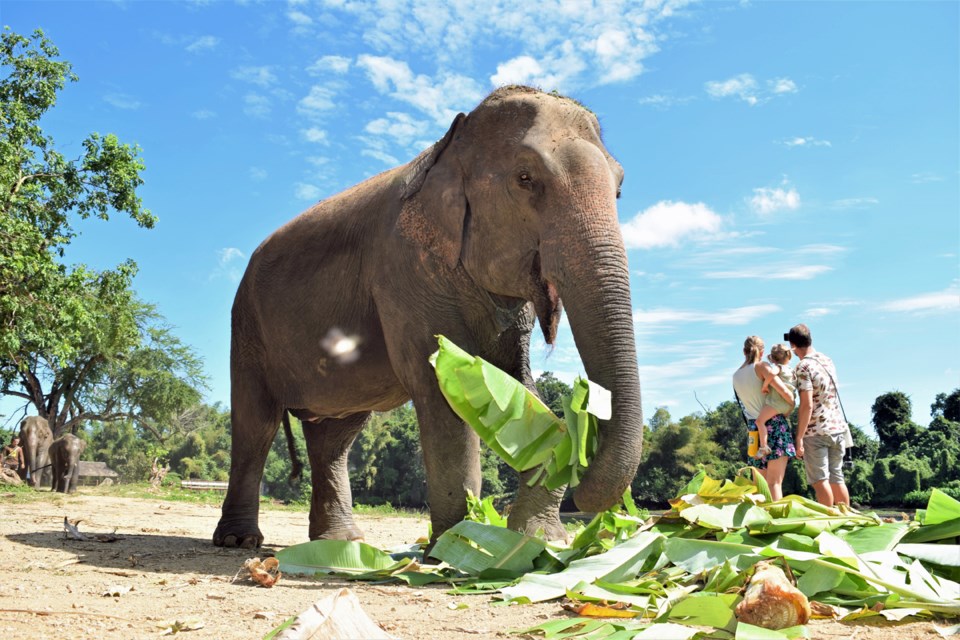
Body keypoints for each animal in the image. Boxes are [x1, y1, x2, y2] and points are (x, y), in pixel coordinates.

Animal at [214, 84, 640, 552]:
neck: (449, 145)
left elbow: (519, 387)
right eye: (525, 178)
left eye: (620, 190)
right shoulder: (403, 271)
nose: (587, 499)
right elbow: (439, 389)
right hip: (246, 325)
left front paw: (538, 540)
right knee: (256, 426)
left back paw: (342, 542)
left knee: (335, 439)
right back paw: (239, 541)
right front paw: (457, 545)